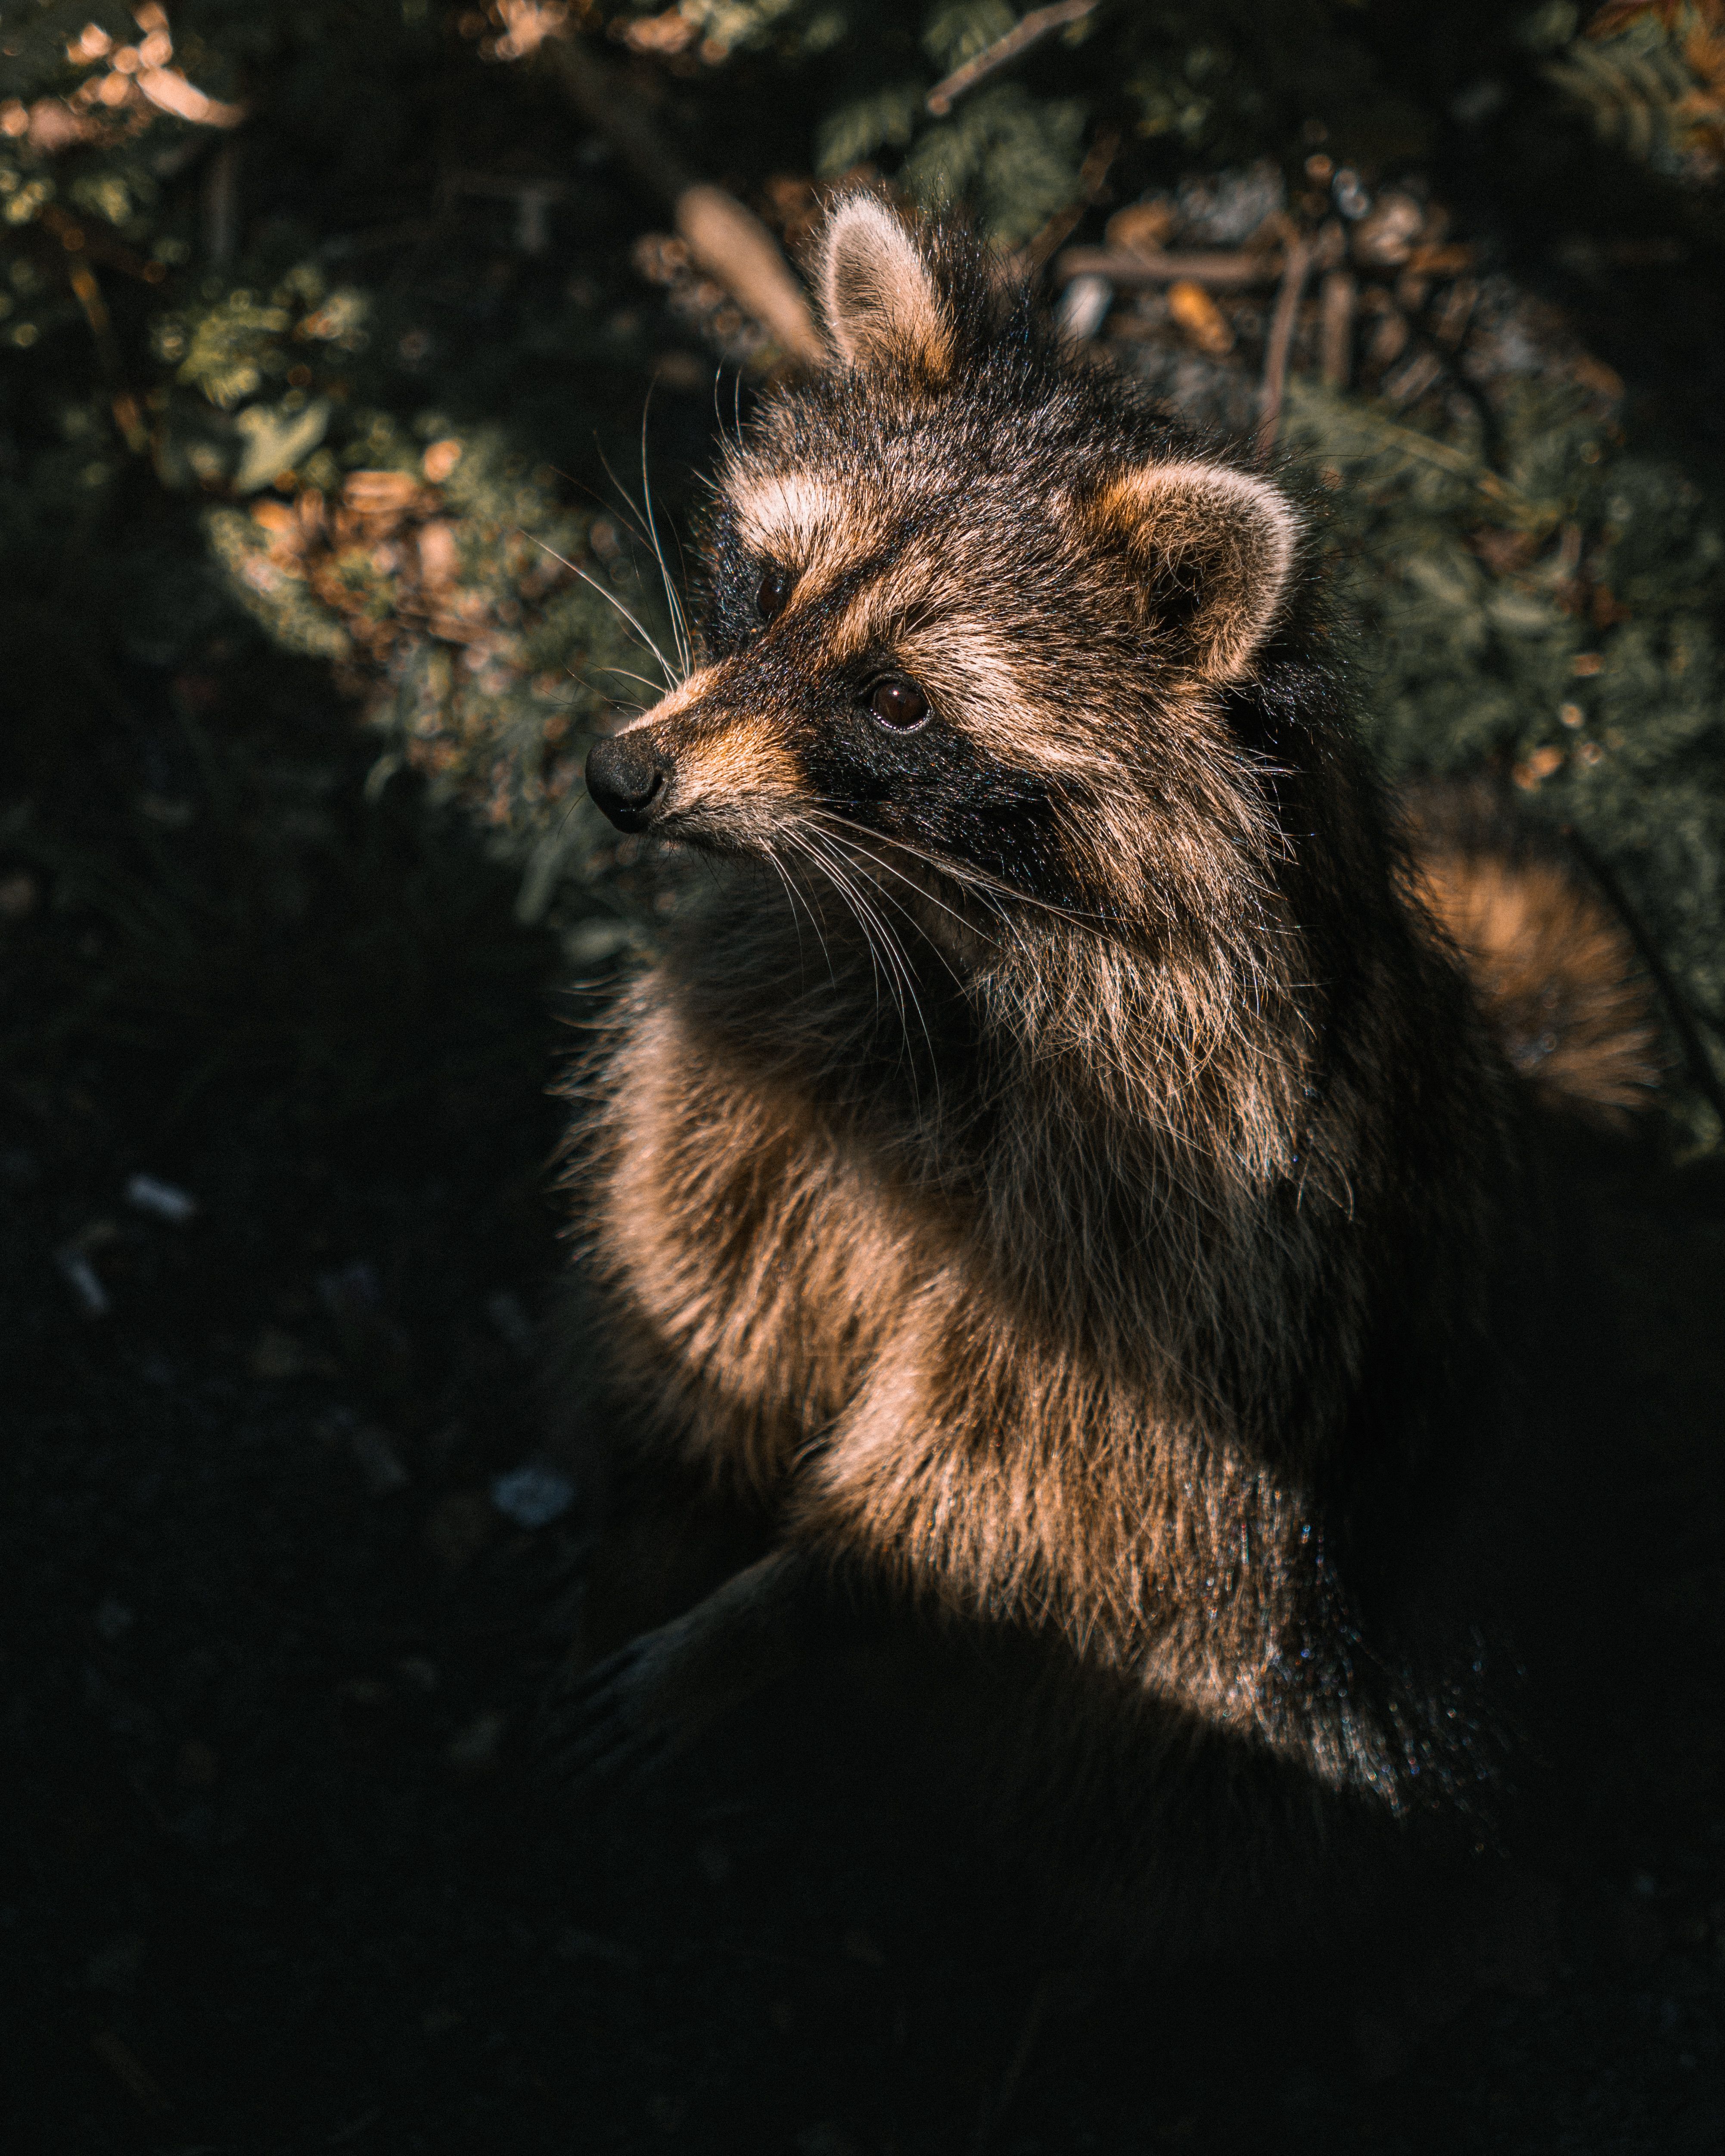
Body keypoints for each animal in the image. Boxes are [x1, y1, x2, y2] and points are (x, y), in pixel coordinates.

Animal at [555, 198, 1655, 1956]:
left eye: (898, 699)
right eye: (765, 584)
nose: (620, 776)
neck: (935, 924)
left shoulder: (1188, 1227)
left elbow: (1035, 1486)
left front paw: (775, 1618)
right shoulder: (782, 1027)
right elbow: (714, 1243)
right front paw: (676, 1466)